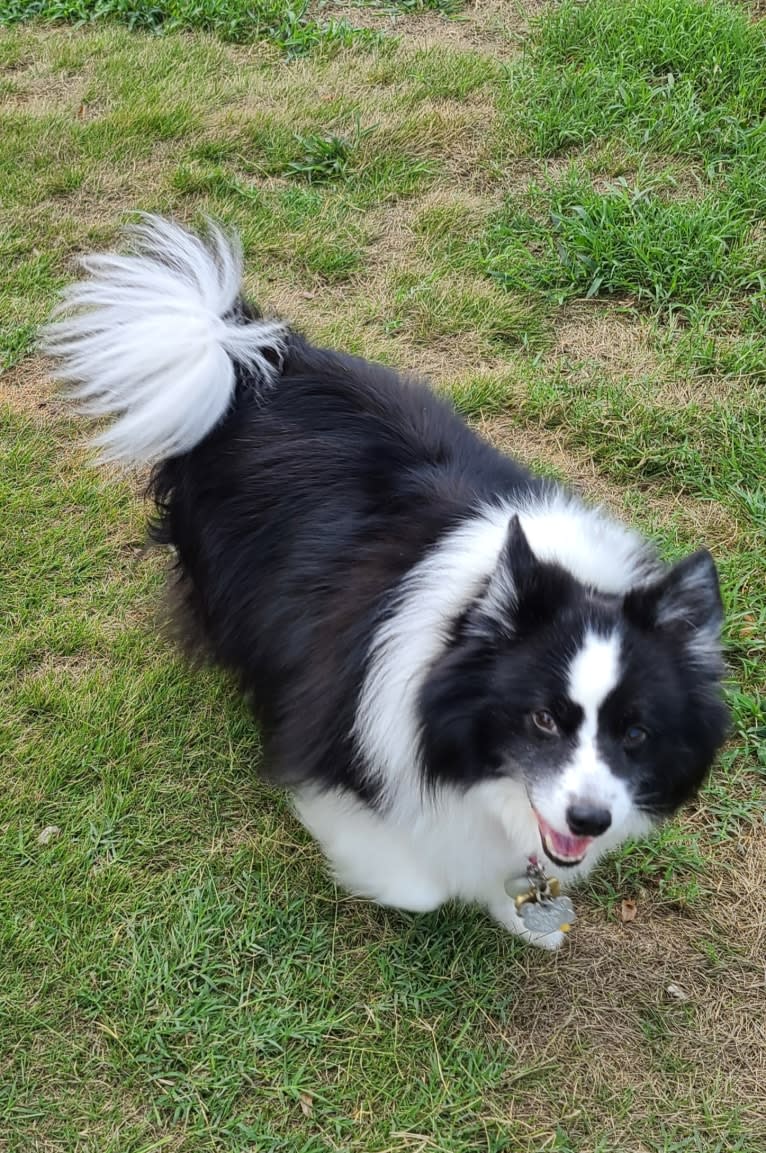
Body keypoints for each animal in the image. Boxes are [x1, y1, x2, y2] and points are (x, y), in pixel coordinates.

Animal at [43, 216, 729, 945]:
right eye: (543, 718)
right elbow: (418, 881)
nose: (590, 820)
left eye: (636, 733)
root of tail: (253, 353)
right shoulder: (340, 740)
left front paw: (525, 907)